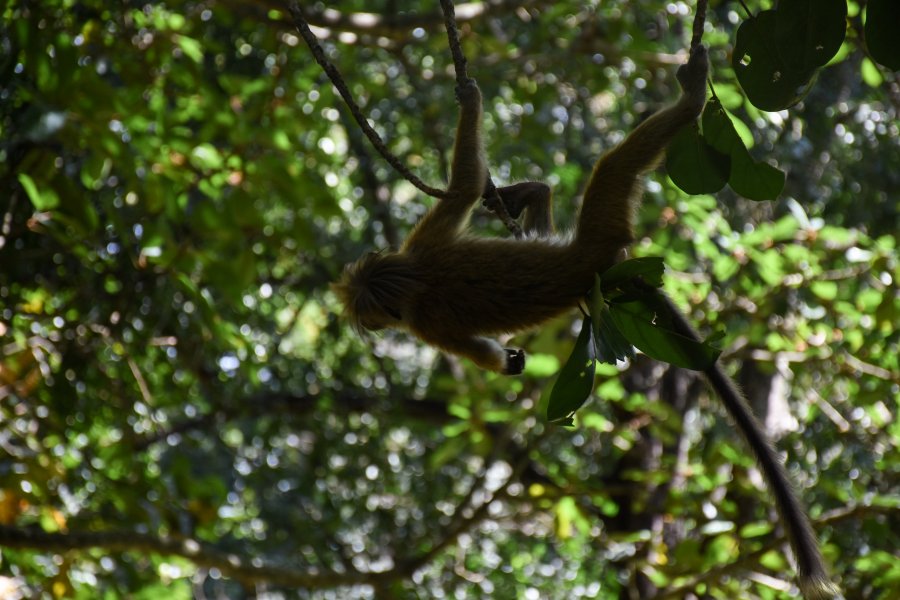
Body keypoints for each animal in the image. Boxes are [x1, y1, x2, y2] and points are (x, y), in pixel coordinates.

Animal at [334, 47, 840, 600]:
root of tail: (594, 265)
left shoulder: (422, 271)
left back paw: (689, 97)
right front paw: (508, 361)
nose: (379, 329)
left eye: (377, 322)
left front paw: (469, 99)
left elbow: (462, 190)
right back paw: (536, 195)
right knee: (590, 188)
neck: (411, 282)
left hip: (602, 226)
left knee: (612, 165)